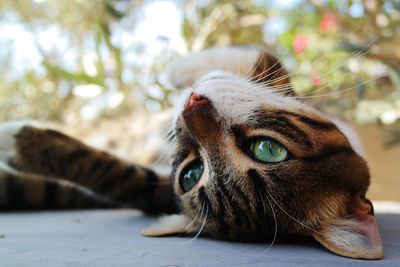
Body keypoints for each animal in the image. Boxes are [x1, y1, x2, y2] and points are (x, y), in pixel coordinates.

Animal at [0, 46, 382, 260]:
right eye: (192, 173)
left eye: (268, 149)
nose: (190, 106)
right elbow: (264, 60)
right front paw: (183, 67)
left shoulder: (152, 190)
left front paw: (17, 142)